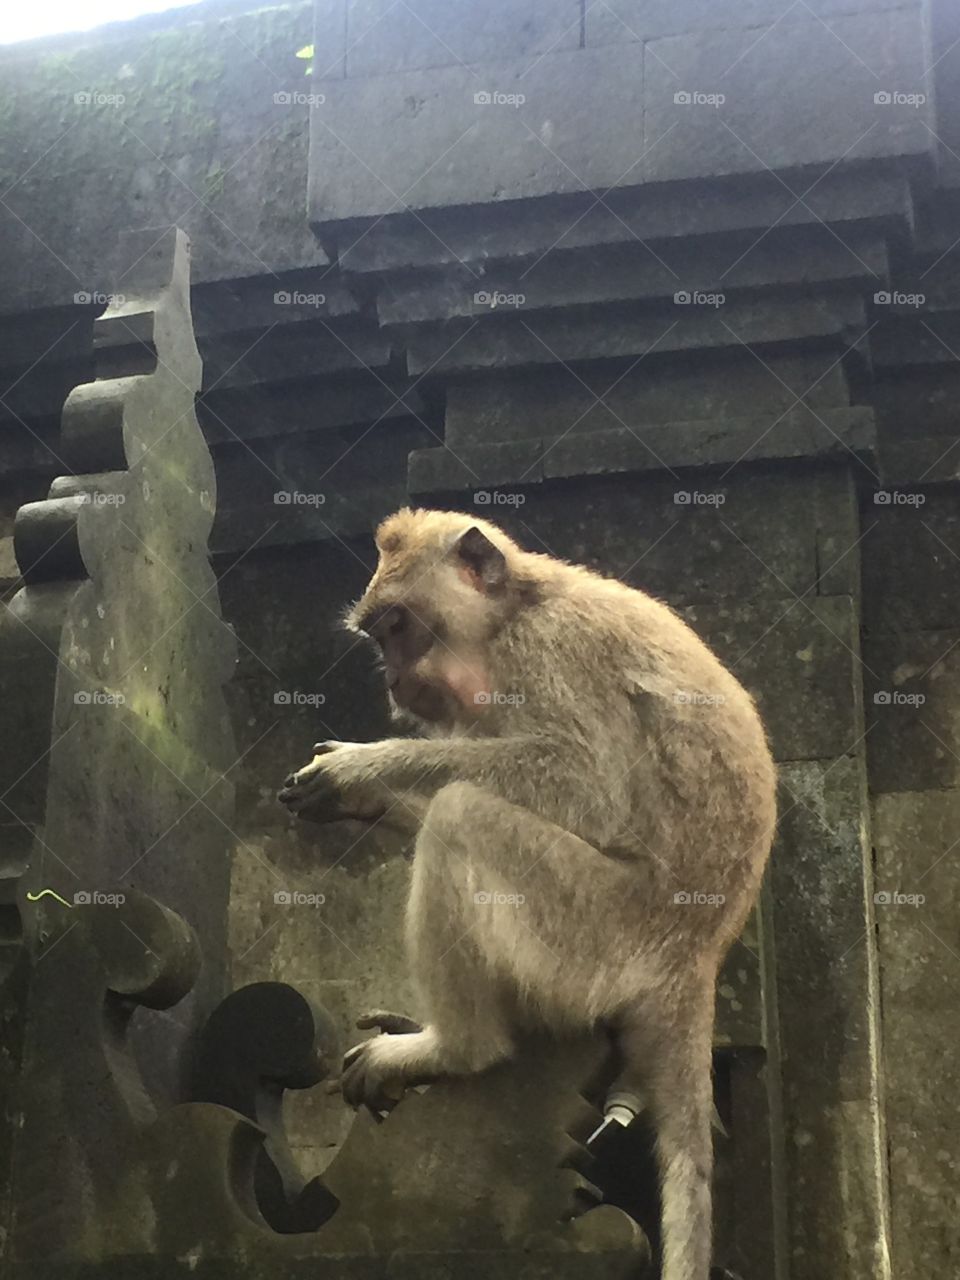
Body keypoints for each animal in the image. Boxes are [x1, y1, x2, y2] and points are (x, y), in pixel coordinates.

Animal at [278, 507, 777, 1280]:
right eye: (379, 636)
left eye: (398, 627)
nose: (393, 681)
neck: (515, 608)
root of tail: (696, 959)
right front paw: (366, 799)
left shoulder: (547, 657)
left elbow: (584, 786)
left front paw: (365, 767)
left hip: (596, 935)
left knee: (462, 818)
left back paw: (455, 1047)